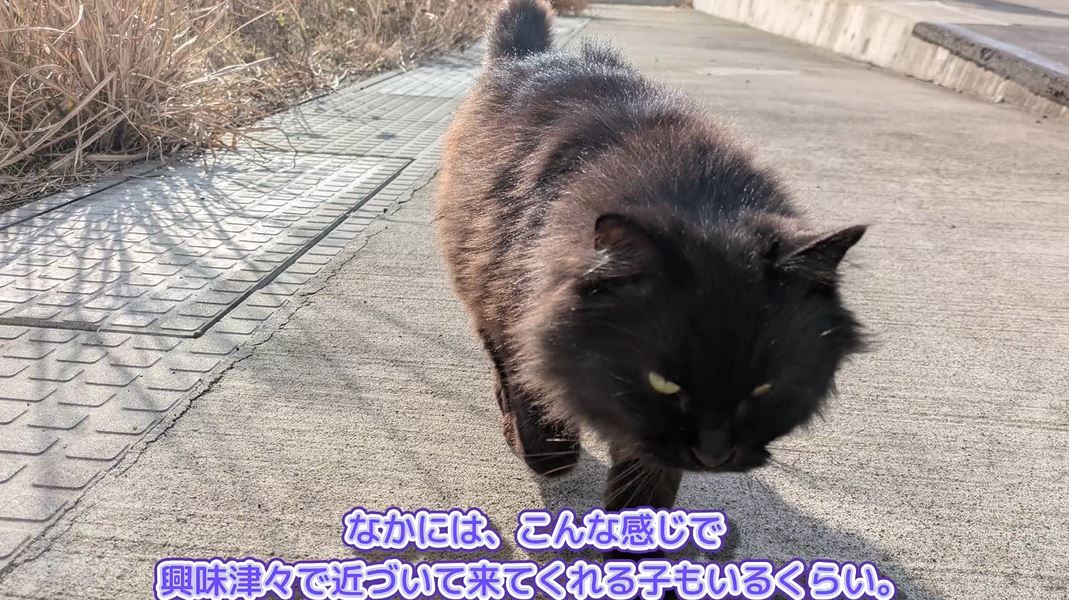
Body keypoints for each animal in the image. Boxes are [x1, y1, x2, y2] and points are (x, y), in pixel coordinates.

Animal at [435, 0, 867, 521]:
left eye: (763, 389)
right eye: (664, 384)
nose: (714, 454)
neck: (697, 198)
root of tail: (528, 56)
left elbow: (647, 482)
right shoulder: (516, 310)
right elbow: (543, 424)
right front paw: (538, 444)